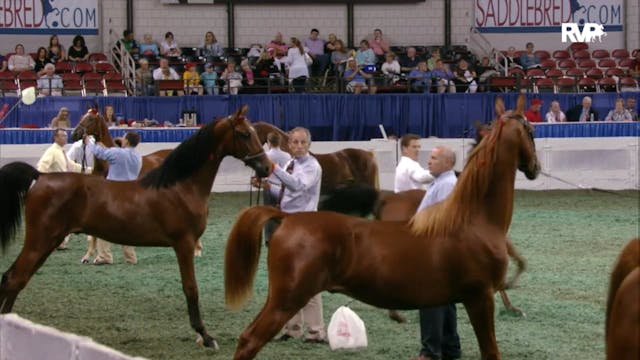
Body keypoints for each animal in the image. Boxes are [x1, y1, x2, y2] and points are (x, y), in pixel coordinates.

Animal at [0, 105, 270, 350]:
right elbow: (191, 289)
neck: (180, 187)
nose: (266, 167)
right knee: (13, 278)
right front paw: (205, 336)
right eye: (244, 134)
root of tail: (41, 177)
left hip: (47, 243)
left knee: (16, 279)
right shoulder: (183, 244)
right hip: (40, 242)